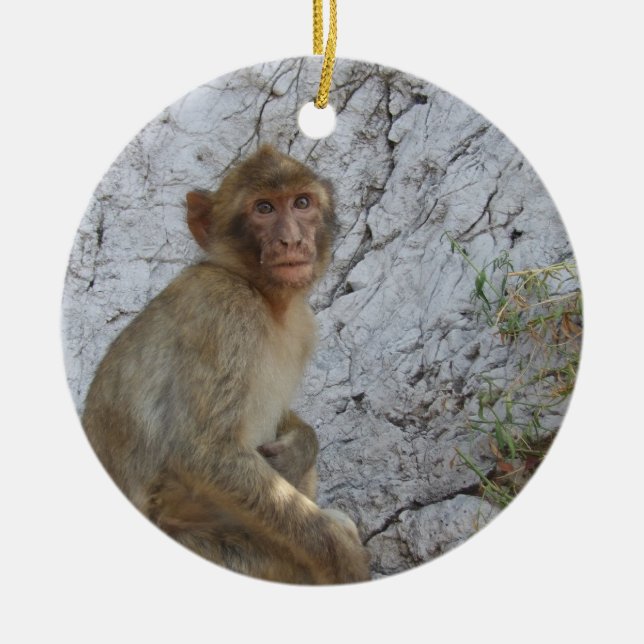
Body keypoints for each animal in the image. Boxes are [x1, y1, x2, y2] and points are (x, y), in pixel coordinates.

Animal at [82, 145, 371, 584]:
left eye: (302, 203)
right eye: (264, 208)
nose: (292, 240)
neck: (262, 295)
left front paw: (301, 446)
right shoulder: (222, 308)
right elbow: (204, 452)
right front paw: (344, 557)